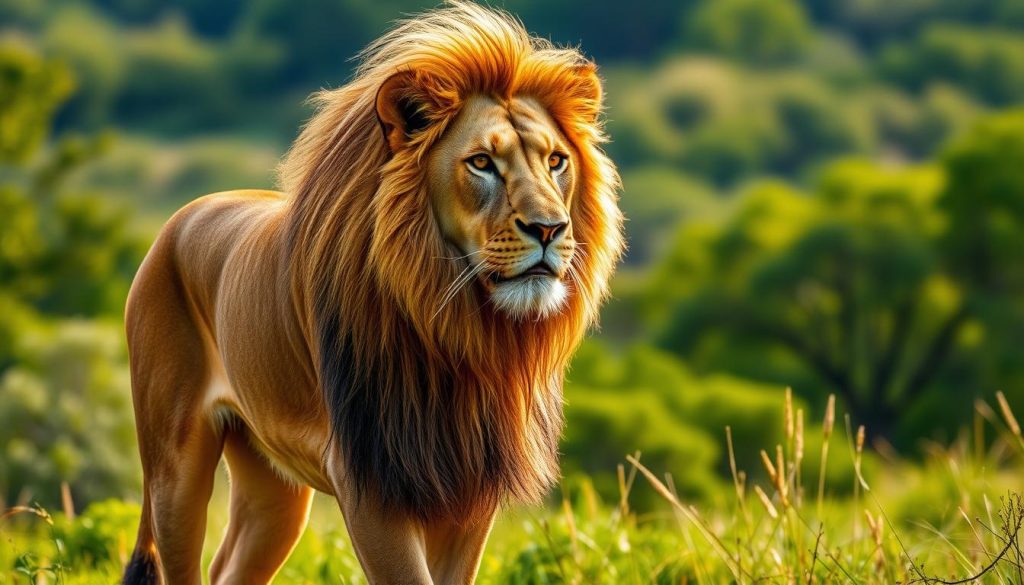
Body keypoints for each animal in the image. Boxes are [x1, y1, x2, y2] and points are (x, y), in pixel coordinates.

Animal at [121, 3, 623, 584]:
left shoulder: (469, 489)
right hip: (174, 468)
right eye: (481, 163)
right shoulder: (368, 481)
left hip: (273, 494)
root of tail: (180, 217)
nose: (549, 228)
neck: (462, 334)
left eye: (556, 161)